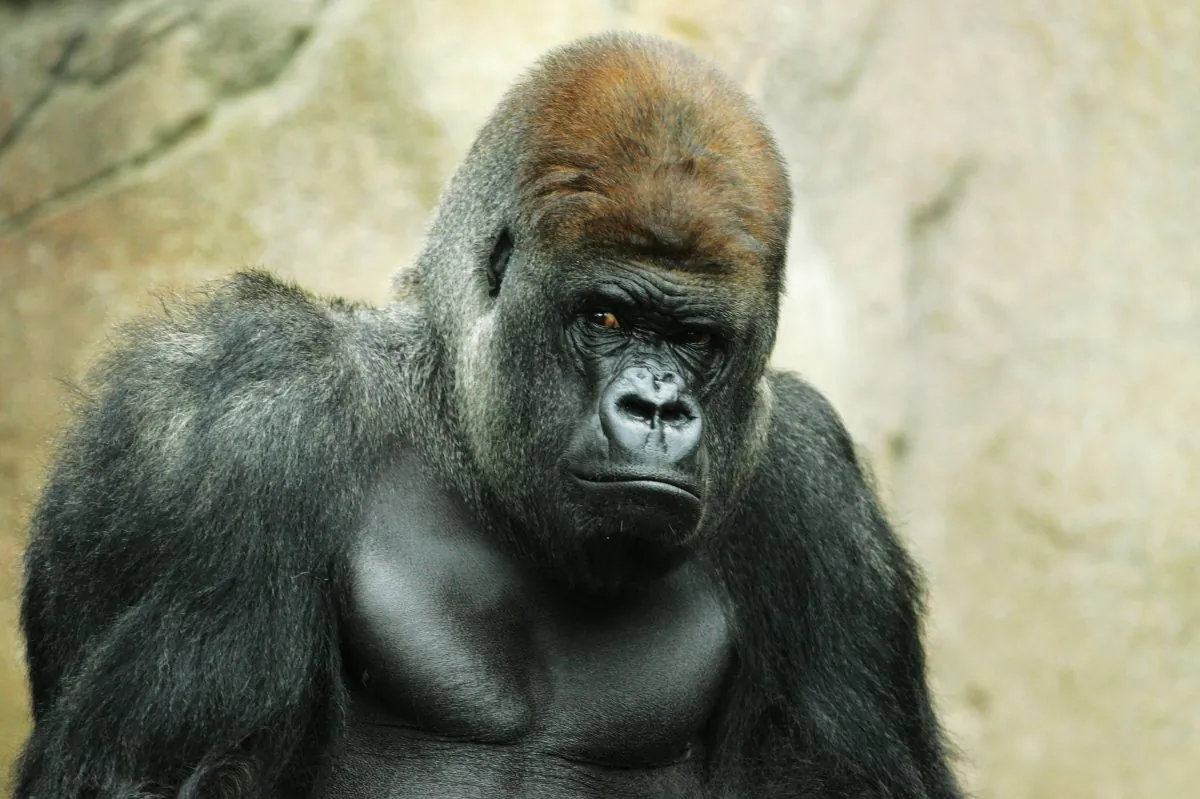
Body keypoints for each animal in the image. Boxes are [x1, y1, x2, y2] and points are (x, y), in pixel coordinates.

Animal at [15, 32, 962, 798]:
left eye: (696, 337)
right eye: (607, 316)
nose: (658, 406)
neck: (457, 427)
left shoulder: (818, 497)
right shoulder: (231, 411)